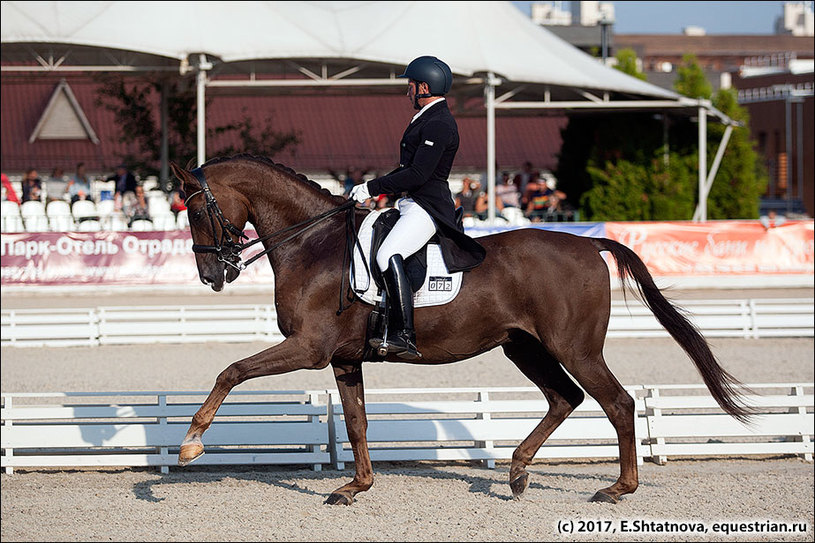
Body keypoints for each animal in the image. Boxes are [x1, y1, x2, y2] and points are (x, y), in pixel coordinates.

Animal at [171, 153, 752, 506]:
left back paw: (618, 489)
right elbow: (356, 423)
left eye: (196, 210)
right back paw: (517, 472)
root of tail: (588, 243)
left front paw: (191, 444)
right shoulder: (343, 357)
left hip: (574, 347)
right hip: (525, 348)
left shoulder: (309, 348)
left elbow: (232, 371)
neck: (313, 244)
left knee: (618, 402)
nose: (212, 275)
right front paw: (355, 486)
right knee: (565, 398)